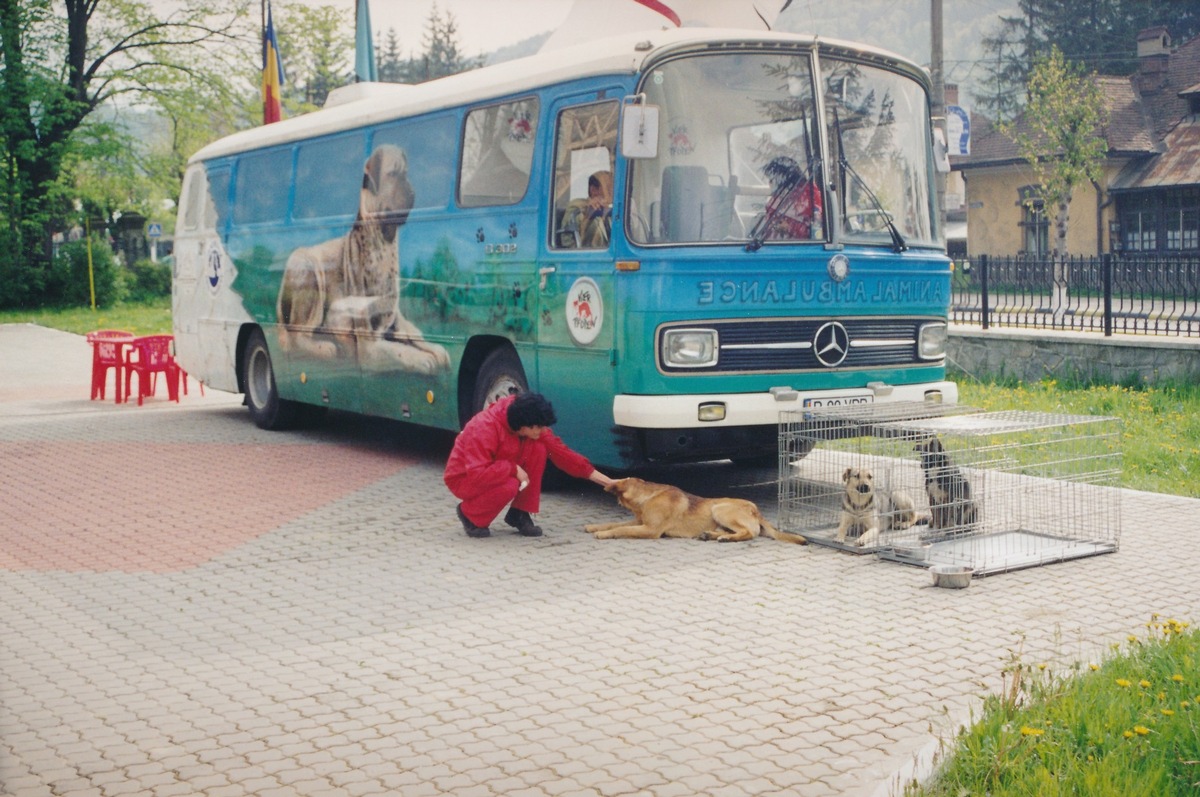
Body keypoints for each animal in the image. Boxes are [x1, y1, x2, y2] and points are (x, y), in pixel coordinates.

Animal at [276, 144, 451, 374]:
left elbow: (414, 335)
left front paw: (434, 349)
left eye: (406, 173)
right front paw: (420, 358)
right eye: (393, 174)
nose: (412, 190)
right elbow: (394, 349)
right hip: (307, 269)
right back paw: (325, 347)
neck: (383, 242)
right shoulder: (369, 344)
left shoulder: (393, 319)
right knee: (297, 334)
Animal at [583, 475, 806, 544]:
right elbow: (614, 522)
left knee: (748, 533)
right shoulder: (640, 522)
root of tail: (755, 509)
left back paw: (725, 538)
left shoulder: (649, 529)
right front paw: (595, 526)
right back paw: (712, 535)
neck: (649, 495)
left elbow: (621, 528)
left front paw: (604, 534)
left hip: (720, 508)